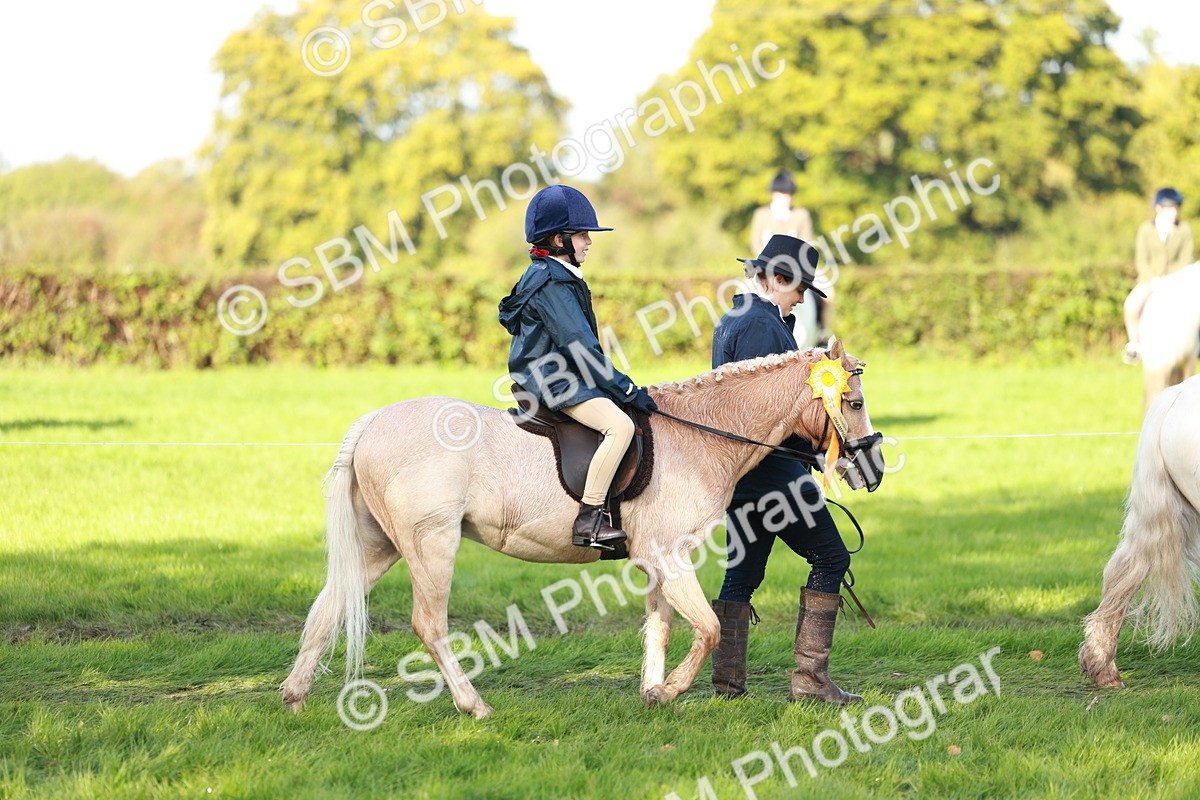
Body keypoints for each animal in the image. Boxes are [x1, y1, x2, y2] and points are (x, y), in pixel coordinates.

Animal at [280, 339, 883, 718]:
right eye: (851, 402)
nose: (871, 469)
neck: (702, 434)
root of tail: (370, 423)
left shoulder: (656, 562)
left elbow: (661, 627)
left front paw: (651, 692)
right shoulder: (671, 556)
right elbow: (709, 627)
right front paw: (669, 693)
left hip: (379, 546)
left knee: (329, 607)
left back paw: (294, 698)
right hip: (432, 544)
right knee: (429, 625)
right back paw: (475, 706)